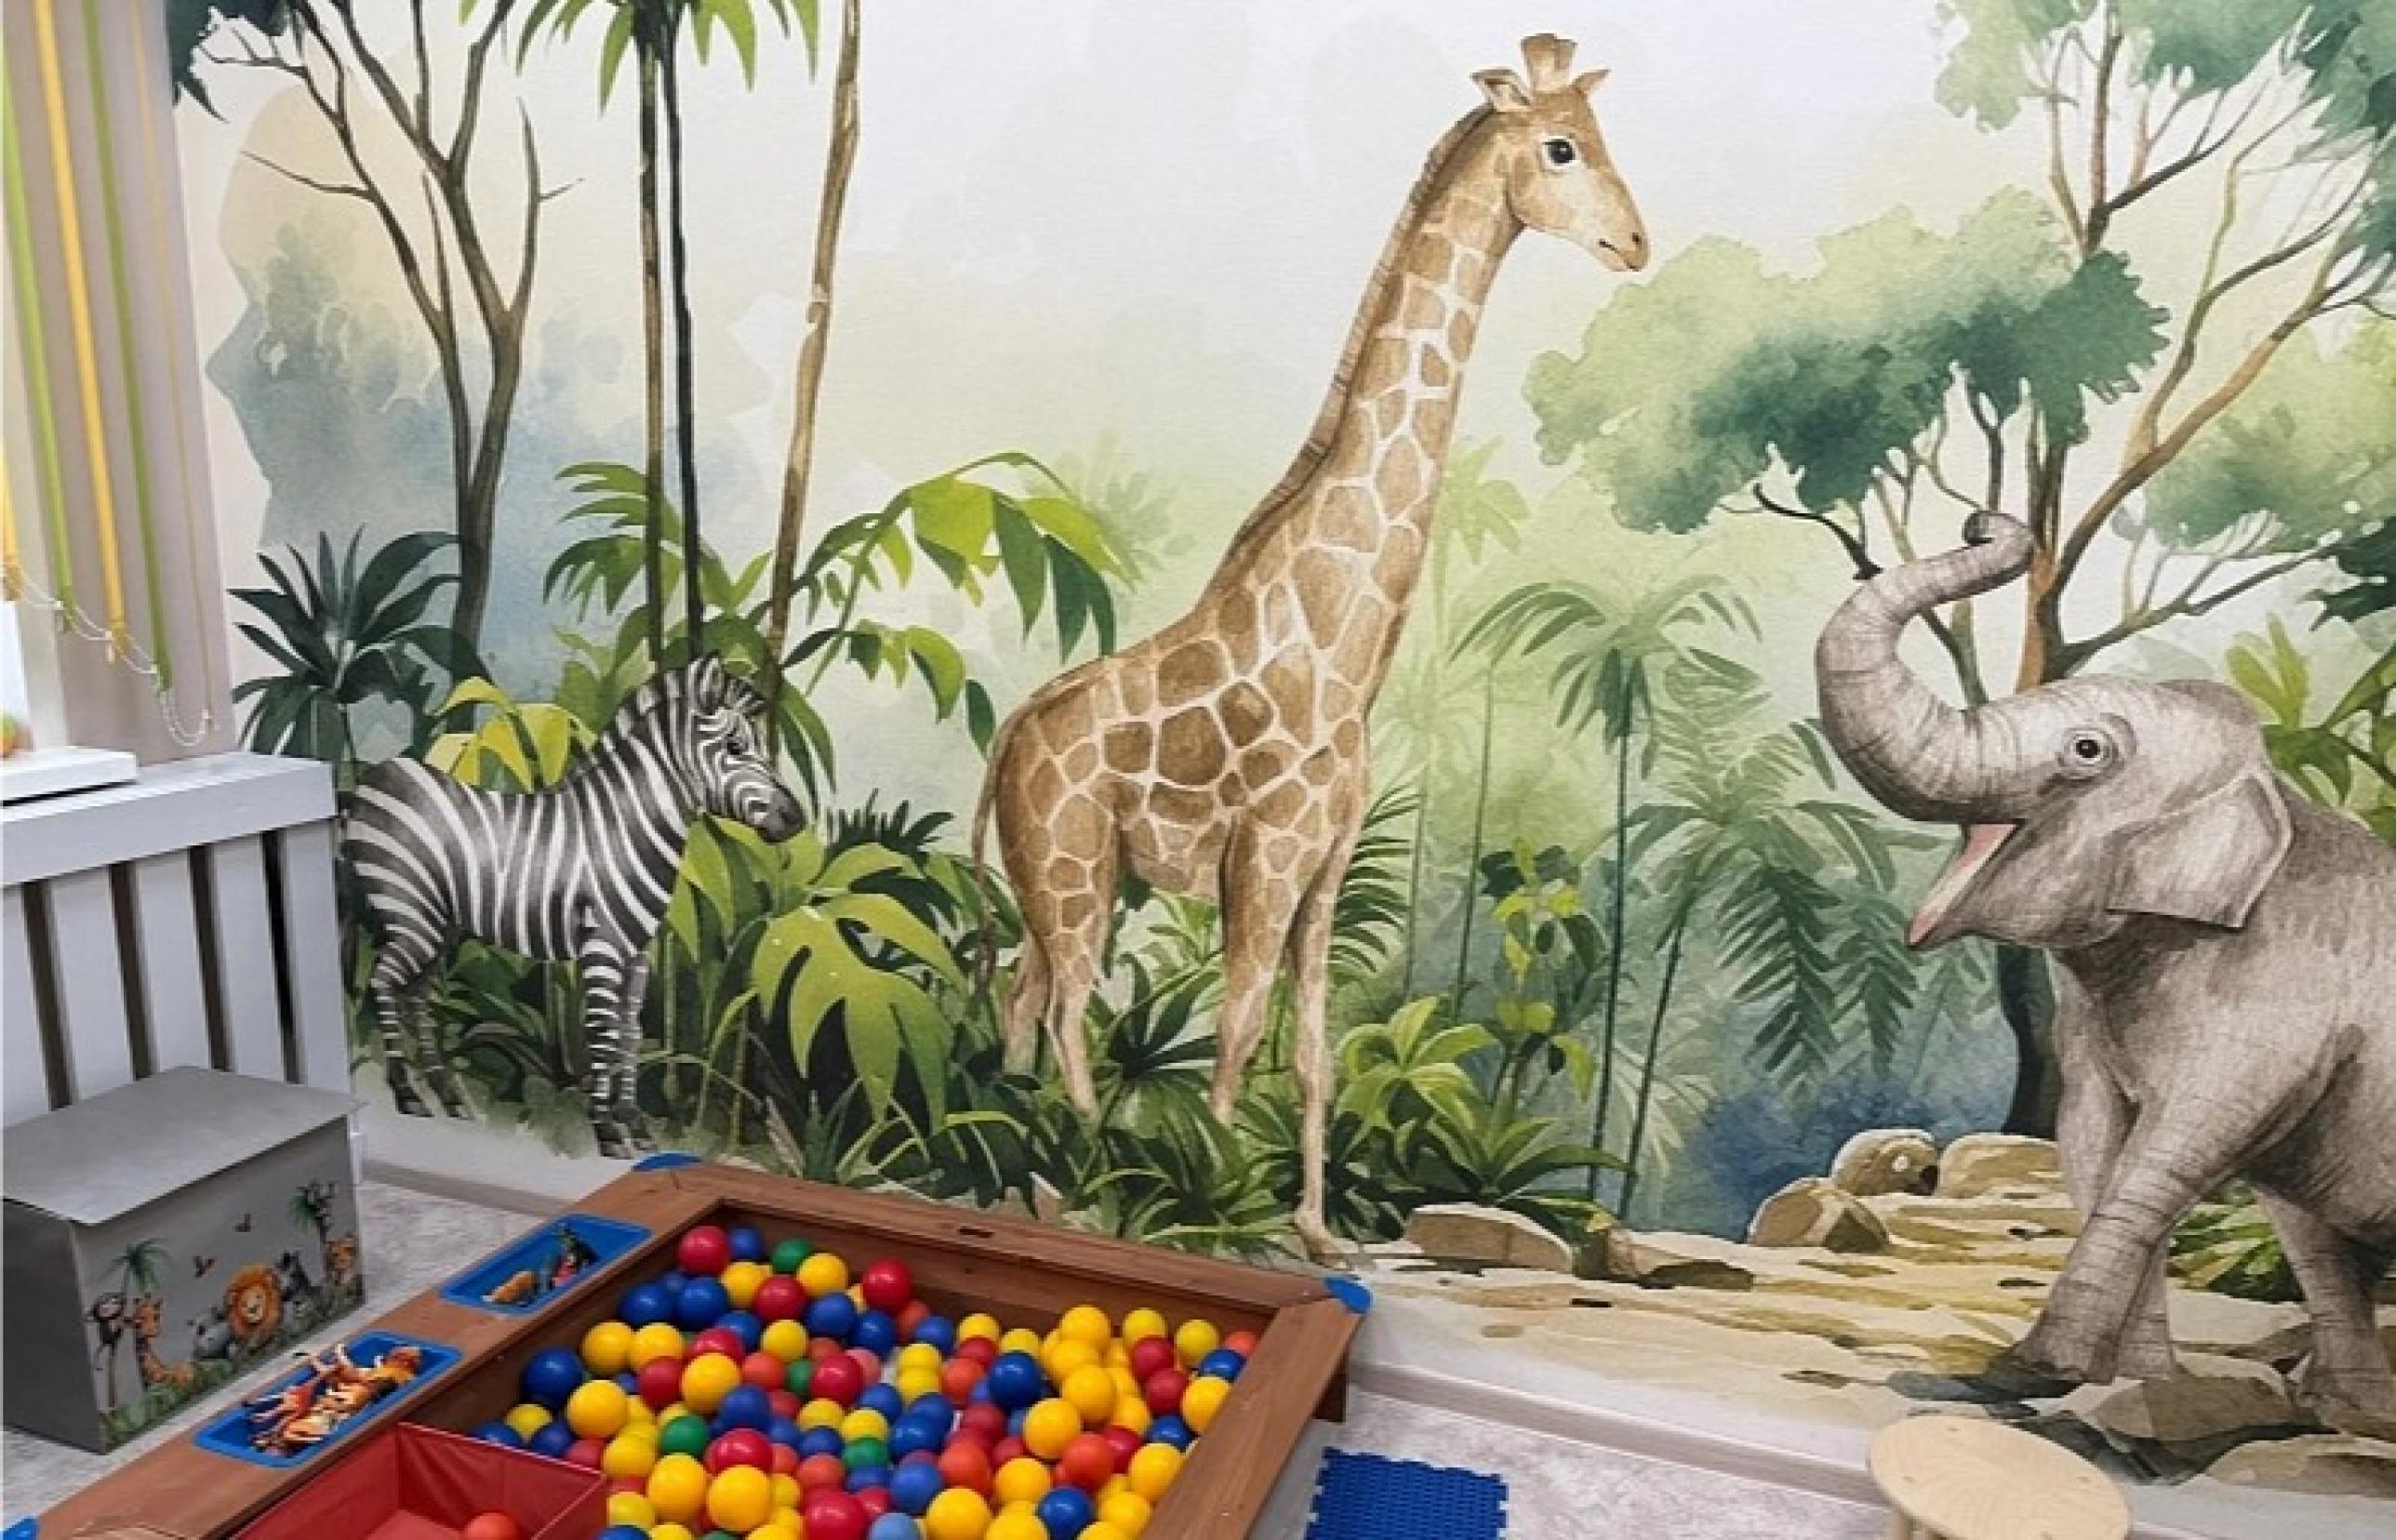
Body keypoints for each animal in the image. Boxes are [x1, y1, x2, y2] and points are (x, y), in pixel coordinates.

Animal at [344, 656, 803, 1156]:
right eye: (735, 746)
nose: (796, 818)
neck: (625, 829)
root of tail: (377, 776)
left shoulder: (637, 953)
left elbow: (630, 1034)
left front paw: (633, 1123)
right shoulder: (602, 946)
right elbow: (603, 1034)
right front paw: (607, 1130)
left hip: (439, 924)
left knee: (418, 992)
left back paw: (447, 1096)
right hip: (410, 910)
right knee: (384, 981)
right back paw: (406, 1091)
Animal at [972, 35, 1648, 1260]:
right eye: (1560, 147)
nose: (1632, 241)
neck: (1344, 649)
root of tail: (1005, 739)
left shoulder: (1327, 864)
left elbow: (1314, 1052)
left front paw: (1316, 1230)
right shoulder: (1268, 853)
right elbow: (1236, 1036)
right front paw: (1214, 1216)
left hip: (1057, 881)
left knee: (1023, 1002)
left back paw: (1023, 1173)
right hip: (1072, 868)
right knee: (1069, 1014)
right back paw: (1085, 1181)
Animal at [1814, 510, 2396, 1415]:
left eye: (2087, 751)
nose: (1985, 522)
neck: (2274, 791)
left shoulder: (2278, 996)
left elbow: (2172, 1145)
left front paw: (2029, 1372)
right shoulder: (2091, 1024)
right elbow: (2092, 1141)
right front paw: (2143, 1386)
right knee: (2313, 1236)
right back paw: (2353, 1414)